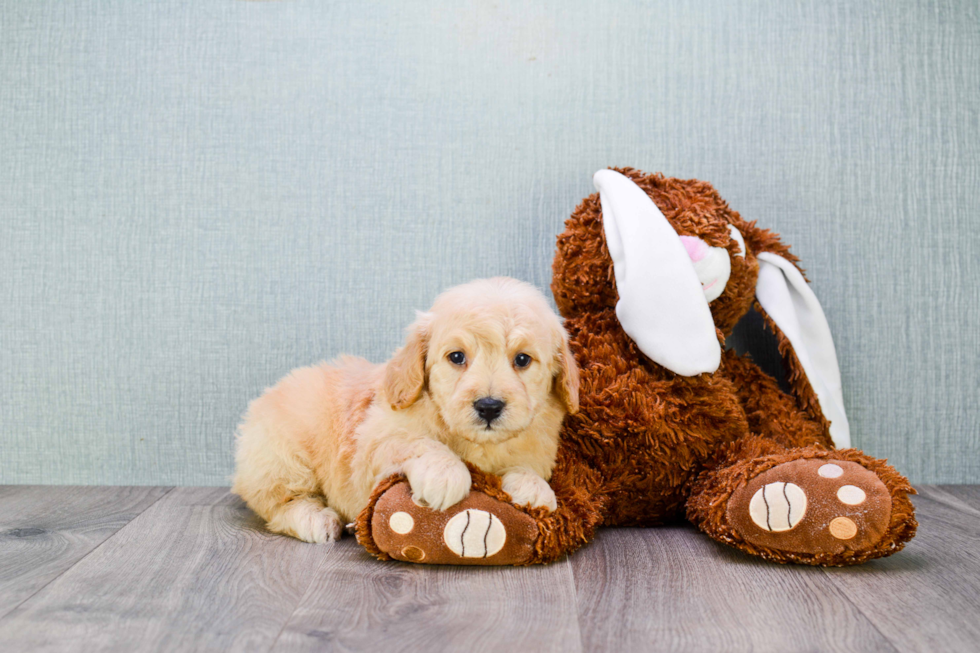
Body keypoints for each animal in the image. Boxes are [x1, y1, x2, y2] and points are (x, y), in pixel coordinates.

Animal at [233, 278, 580, 544]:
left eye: (522, 360)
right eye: (456, 357)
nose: (489, 406)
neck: (477, 444)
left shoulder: (538, 449)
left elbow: (527, 467)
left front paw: (535, 489)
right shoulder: (373, 444)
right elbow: (419, 442)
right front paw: (446, 474)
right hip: (281, 459)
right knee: (281, 504)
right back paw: (318, 520)